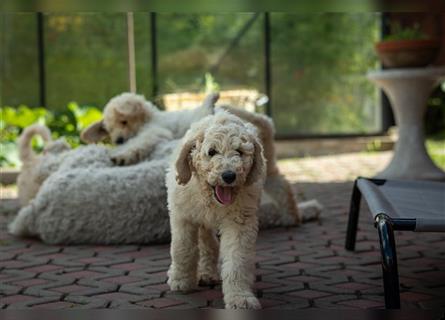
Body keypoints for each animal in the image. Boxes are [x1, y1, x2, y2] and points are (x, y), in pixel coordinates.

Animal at [82, 90, 219, 164]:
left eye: (123, 122)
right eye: (110, 130)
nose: (118, 141)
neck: (149, 118)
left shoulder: (154, 131)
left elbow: (139, 143)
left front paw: (123, 156)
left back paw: (212, 97)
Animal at [166, 111, 264, 308]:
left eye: (239, 152)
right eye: (211, 152)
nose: (229, 176)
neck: (212, 200)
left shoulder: (240, 221)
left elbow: (237, 259)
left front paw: (240, 297)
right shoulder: (183, 216)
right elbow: (182, 248)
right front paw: (180, 281)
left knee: (208, 244)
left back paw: (207, 274)